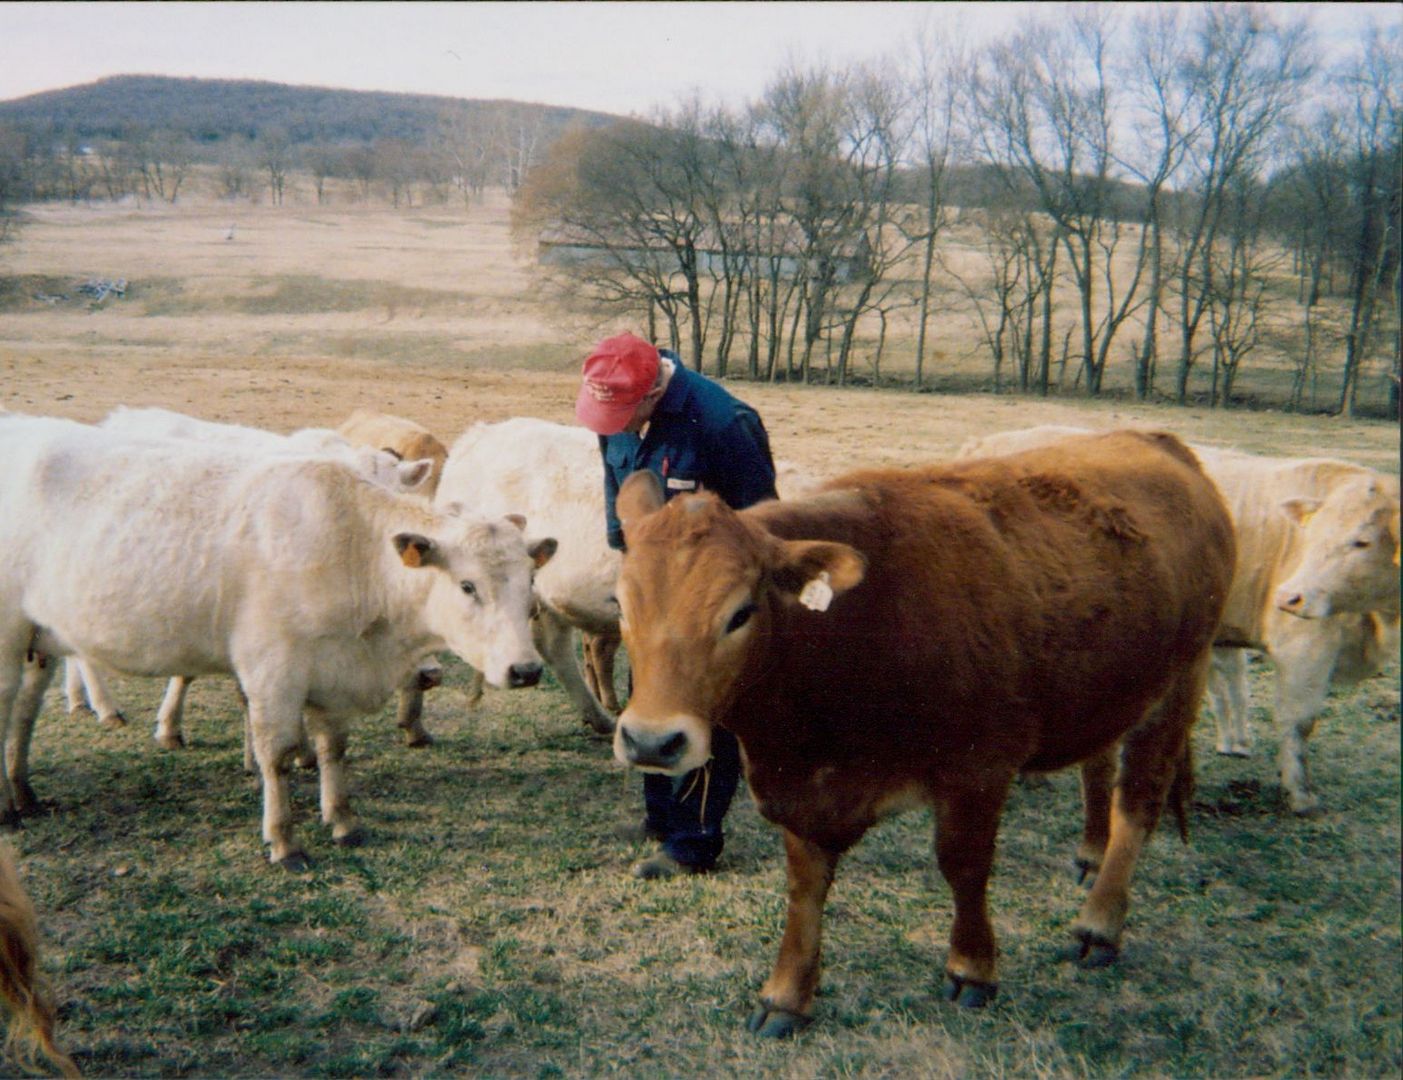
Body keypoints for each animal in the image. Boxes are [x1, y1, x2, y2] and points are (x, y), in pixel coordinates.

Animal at [0, 413, 555, 868]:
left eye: (530, 580)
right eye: (467, 586)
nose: (526, 670)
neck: (349, 548)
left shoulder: (331, 672)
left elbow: (334, 748)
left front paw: (343, 821)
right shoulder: (272, 669)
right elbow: (278, 753)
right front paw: (285, 840)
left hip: (38, 642)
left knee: (23, 714)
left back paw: (24, 793)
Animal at [611, 430, 1235, 1035]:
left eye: (740, 613)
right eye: (620, 603)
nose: (651, 740)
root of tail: (1158, 442)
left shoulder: (979, 768)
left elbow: (963, 866)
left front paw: (972, 968)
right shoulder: (803, 787)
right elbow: (805, 886)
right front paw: (787, 995)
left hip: (1180, 682)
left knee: (1138, 803)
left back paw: (1099, 924)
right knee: (1098, 766)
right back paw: (1090, 855)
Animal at [960, 426, 1401, 814]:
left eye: (1362, 541)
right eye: (1311, 536)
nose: (1289, 596)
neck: (1377, 620)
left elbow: (1231, 688)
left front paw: (1236, 745)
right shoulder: (1304, 645)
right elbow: (1299, 721)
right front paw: (1300, 796)